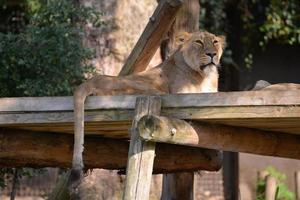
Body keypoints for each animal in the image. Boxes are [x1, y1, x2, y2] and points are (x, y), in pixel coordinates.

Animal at [69, 30, 225, 195]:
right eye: (198, 42)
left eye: (215, 42)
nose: (212, 54)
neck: (204, 77)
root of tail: (89, 81)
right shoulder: (181, 93)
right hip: (143, 88)